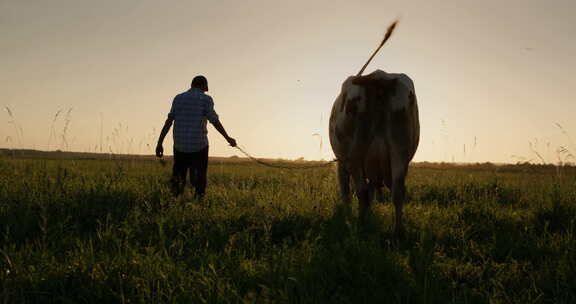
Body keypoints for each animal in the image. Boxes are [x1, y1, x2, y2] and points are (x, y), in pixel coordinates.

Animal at [328, 70, 418, 236]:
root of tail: (378, 77)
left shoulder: (342, 166)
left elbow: (346, 193)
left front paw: (348, 217)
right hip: (400, 151)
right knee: (397, 191)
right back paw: (398, 231)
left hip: (355, 155)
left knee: (361, 191)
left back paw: (361, 225)